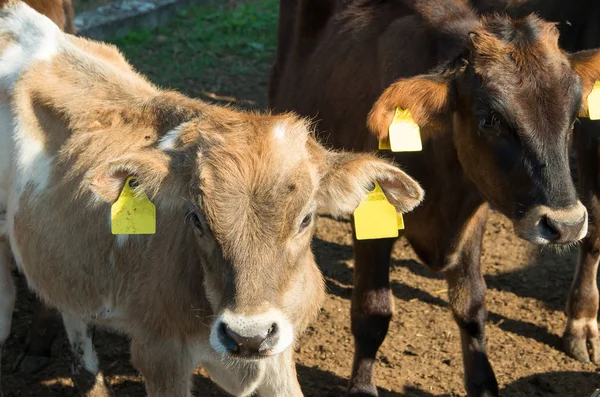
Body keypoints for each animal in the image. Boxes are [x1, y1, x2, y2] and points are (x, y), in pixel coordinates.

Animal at [270, 0, 600, 394]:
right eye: (490, 119)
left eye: (574, 116)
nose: (566, 225)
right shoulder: (372, 220)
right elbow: (372, 311)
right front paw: (362, 387)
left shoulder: (474, 212)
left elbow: (471, 304)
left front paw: (483, 383)